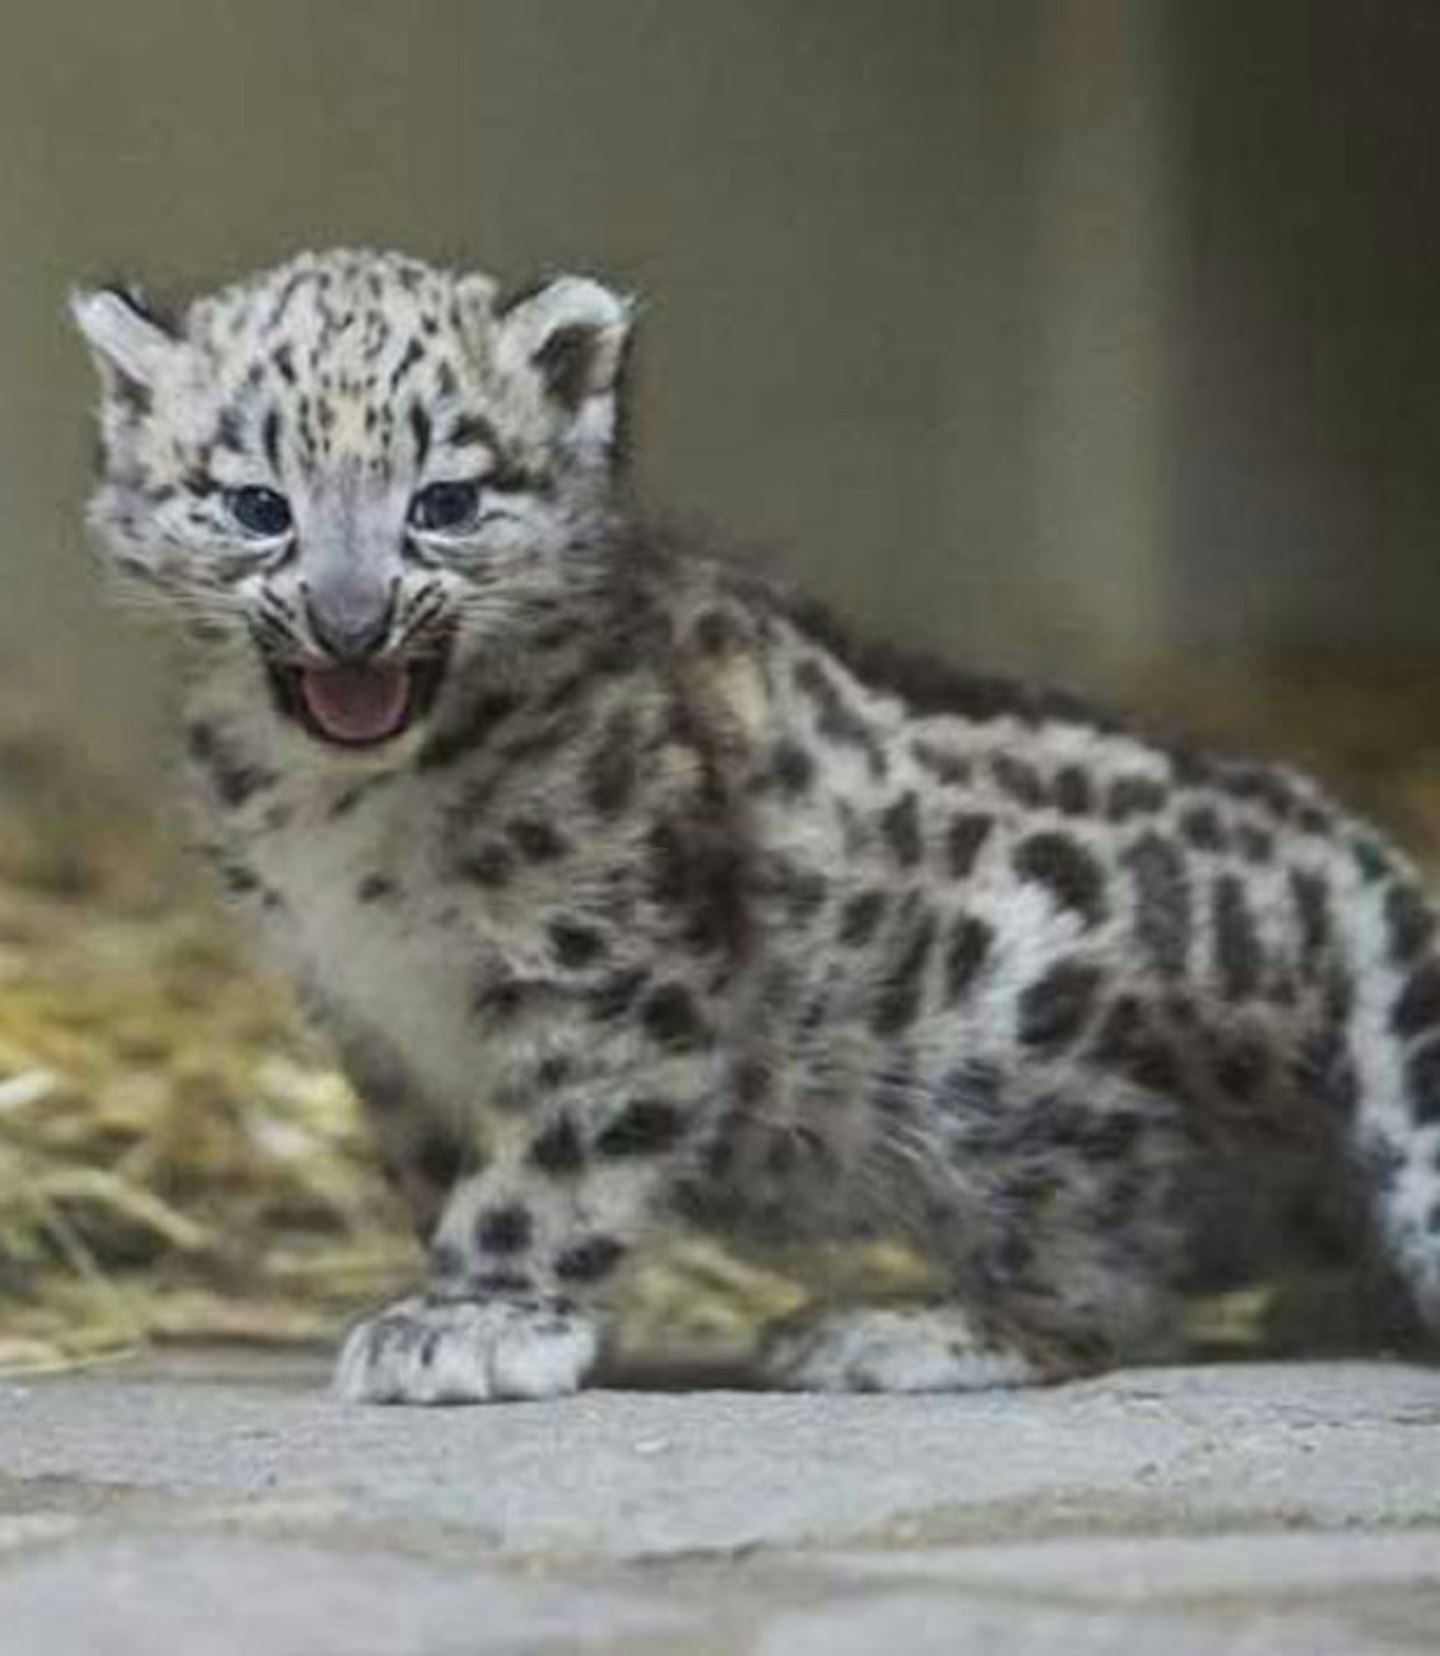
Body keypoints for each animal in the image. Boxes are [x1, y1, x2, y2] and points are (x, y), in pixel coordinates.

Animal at [73, 251, 1436, 1404]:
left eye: (445, 500)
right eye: (259, 506)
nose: (351, 624)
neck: (337, 813)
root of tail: (1330, 835)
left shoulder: (612, 974)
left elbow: (549, 1166)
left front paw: (478, 1320)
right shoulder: (374, 1025)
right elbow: (442, 1170)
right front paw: (469, 1296)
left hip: (1016, 1097)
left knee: (1115, 1286)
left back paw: (895, 1334)